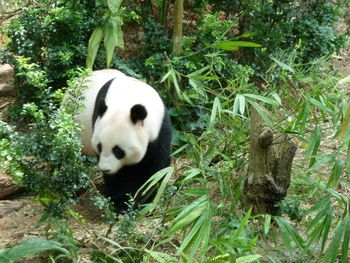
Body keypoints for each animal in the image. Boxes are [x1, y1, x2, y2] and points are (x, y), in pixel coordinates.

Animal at [78, 69, 173, 211]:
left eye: (118, 151)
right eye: (100, 147)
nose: (105, 169)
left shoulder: (160, 130)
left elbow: (150, 172)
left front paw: (128, 201)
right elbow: (117, 176)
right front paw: (116, 199)